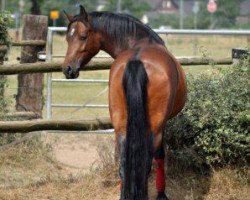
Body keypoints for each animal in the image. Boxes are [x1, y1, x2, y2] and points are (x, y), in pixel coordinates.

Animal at [63, 5, 186, 200]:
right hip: (154, 127)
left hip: (121, 125)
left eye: (82, 36)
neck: (140, 42)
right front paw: (161, 194)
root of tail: (136, 60)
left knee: (124, 164)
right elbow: (160, 155)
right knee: (146, 165)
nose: (67, 69)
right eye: (68, 37)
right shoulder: (162, 124)